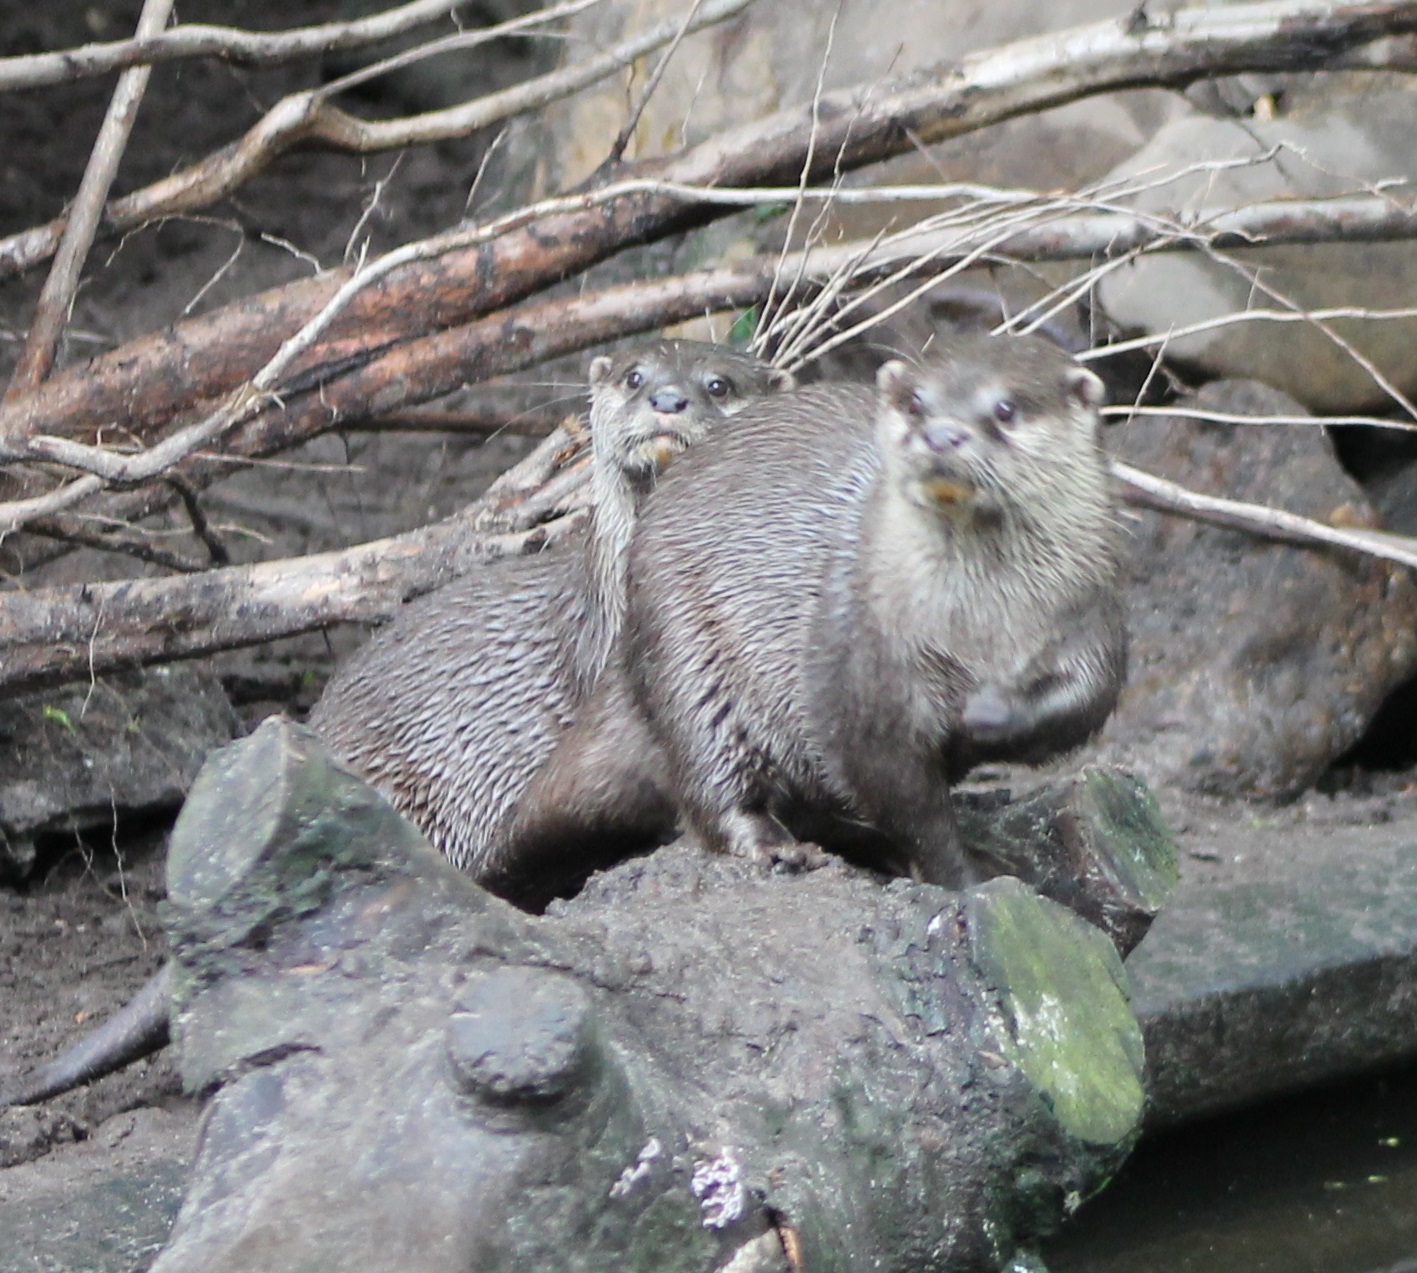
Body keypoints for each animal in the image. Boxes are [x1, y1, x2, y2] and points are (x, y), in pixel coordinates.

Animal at [506, 332, 1126, 890]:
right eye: (916, 404)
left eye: (1006, 408)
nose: (941, 434)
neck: (978, 626)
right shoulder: (859, 655)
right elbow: (904, 799)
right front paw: (968, 877)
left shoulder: (1092, 614)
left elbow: (1087, 700)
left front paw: (988, 716)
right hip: (682, 647)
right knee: (708, 785)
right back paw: (778, 847)